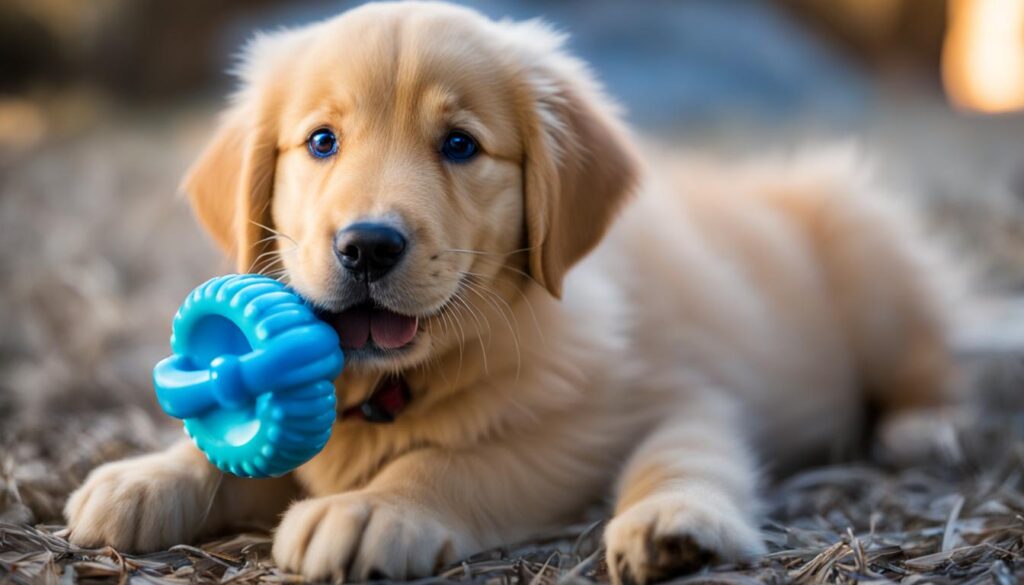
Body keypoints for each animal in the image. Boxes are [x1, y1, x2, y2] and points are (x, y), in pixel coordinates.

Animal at [64, 2, 958, 581]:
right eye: (321, 141)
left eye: (460, 145)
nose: (366, 246)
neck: (403, 383)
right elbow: (236, 450)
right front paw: (146, 477)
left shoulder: (679, 390)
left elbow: (484, 457)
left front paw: (375, 507)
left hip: (868, 249)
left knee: (928, 357)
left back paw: (925, 426)